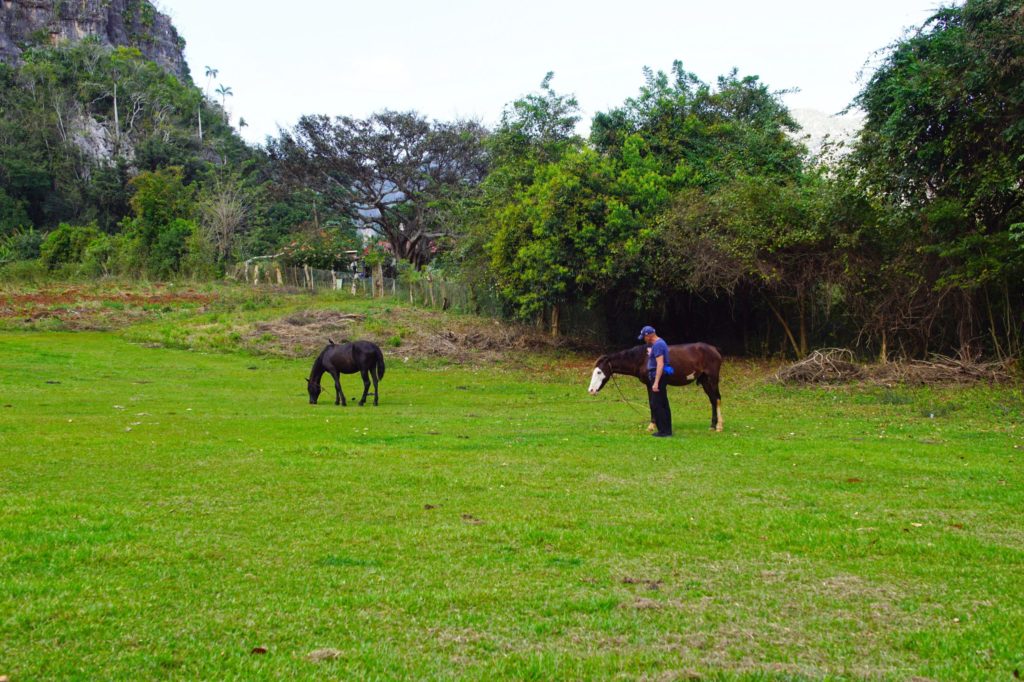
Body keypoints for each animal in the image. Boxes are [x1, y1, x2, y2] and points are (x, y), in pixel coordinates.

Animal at [589, 339, 724, 430]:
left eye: (599, 372)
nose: (591, 390)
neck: (643, 358)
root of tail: (715, 349)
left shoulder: (651, 385)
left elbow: (653, 403)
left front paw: (652, 426)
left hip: (712, 380)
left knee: (717, 399)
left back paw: (719, 426)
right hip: (705, 381)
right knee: (713, 400)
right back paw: (713, 425)